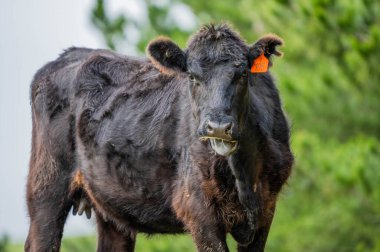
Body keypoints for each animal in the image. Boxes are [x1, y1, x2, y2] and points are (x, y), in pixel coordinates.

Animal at [25, 24, 292, 252]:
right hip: (46, 187)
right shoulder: (198, 210)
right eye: (192, 76)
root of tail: (73, 53)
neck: (244, 176)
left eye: (243, 73)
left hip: (111, 204)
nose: (217, 127)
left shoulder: (266, 211)